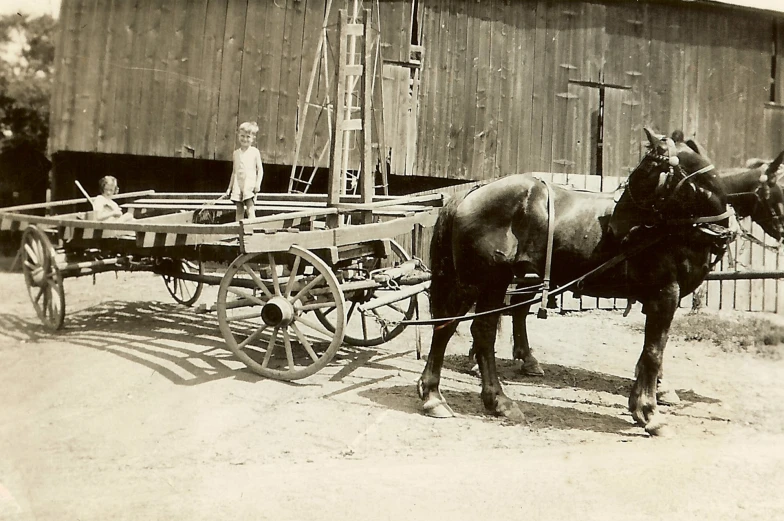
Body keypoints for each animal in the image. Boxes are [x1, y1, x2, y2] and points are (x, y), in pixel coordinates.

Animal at [420, 127, 732, 434]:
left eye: (646, 170)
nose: (615, 227)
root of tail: (472, 192)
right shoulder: (664, 294)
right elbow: (654, 353)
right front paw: (650, 413)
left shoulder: (660, 299)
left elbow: (649, 354)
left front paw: (640, 406)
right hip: (476, 281)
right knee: (448, 328)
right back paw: (435, 398)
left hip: (494, 282)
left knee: (481, 332)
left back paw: (498, 401)